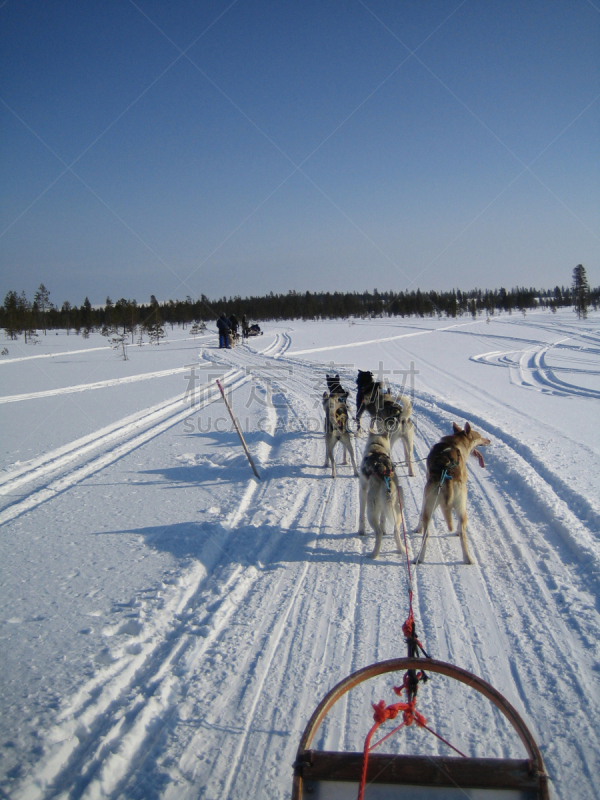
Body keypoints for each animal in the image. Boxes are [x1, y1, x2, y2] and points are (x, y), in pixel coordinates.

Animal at [356, 422, 408, 560]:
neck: (376, 449)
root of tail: (385, 474)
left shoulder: (362, 490)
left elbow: (361, 515)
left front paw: (361, 531)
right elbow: (383, 519)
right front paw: (385, 530)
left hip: (371, 511)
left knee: (378, 532)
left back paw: (374, 554)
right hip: (397, 511)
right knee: (396, 530)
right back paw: (401, 549)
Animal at [414, 422, 490, 564]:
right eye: (480, 436)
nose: (489, 440)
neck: (454, 443)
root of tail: (447, 476)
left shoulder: (425, 499)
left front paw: (418, 528)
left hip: (430, 508)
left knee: (426, 535)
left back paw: (419, 558)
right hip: (461, 509)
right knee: (463, 535)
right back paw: (467, 558)